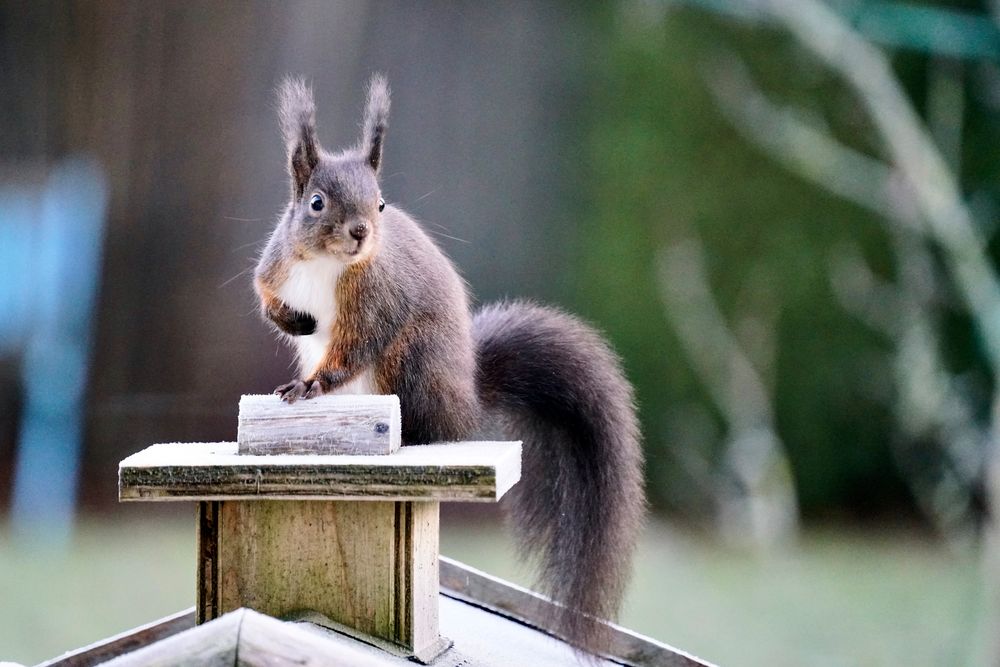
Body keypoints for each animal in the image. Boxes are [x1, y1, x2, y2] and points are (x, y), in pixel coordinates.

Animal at [254, 74, 644, 652]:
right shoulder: (275, 266)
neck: (328, 264)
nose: (361, 232)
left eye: (381, 204)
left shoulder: (374, 303)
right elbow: (265, 298)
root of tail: (467, 396)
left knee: (428, 424)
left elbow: (353, 349)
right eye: (316, 203)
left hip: (410, 363)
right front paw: (295, 322)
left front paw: (311, 386)